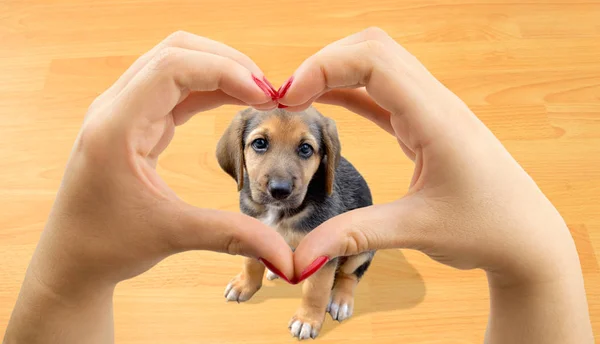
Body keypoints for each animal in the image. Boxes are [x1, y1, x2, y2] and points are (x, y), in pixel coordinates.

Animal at [216, 106, 376, 340]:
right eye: (260, 143)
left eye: (305, 148)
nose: (279, 190)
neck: (279, 212)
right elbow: (250, 263)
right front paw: (244, 285)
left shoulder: (322, 253)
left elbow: (315, 291)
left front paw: (307, 320)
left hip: (361, 248)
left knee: (350, 274)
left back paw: (340, 300)